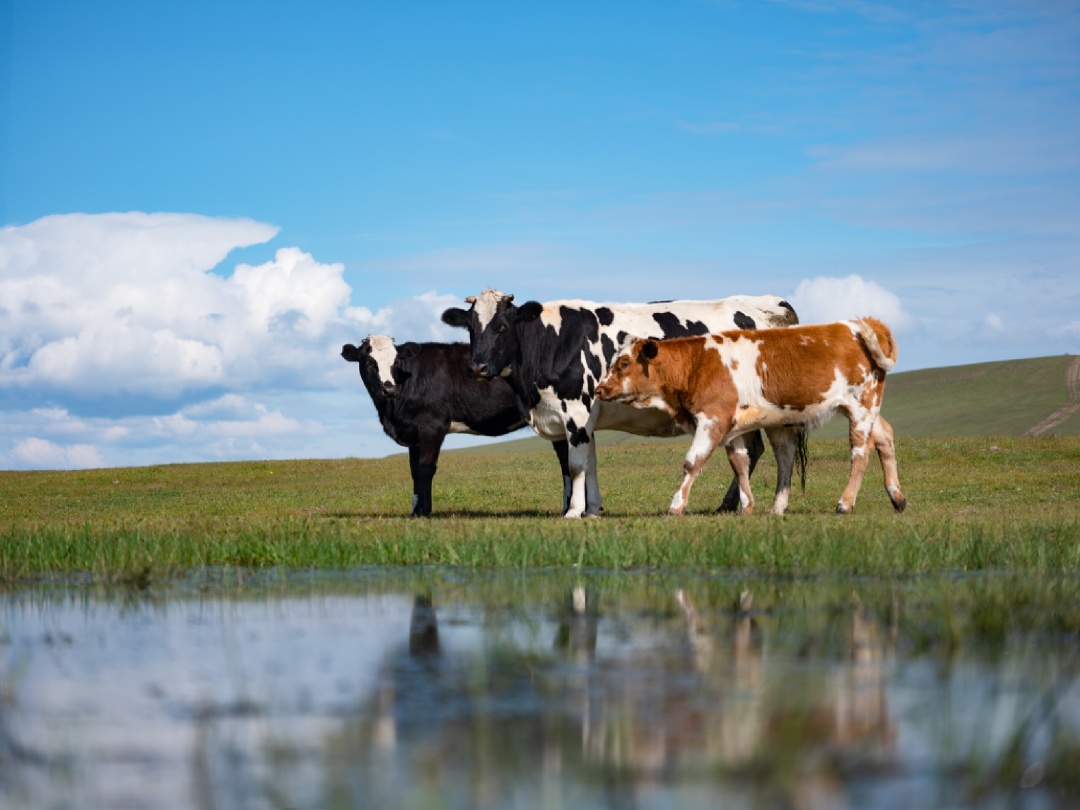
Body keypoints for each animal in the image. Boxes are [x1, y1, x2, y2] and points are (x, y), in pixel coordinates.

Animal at [343, 336, 574, 520]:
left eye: (396, 361)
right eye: (369, 362)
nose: (389, 388)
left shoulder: (432, 425)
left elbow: (426, 469)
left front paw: (424, 512)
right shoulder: (414, 433)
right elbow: (415, 471)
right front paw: (415, 511)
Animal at [438, 291, 803, 520]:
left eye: (502, 326)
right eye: (471, 328)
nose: (477, 367)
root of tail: (772, 305)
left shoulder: (576, 412)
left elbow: (576, 466)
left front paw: (574, 512)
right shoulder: (578, 419)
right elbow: (590, 463)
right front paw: (592, 509)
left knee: (783, 451)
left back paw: (776, 506)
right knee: (754, 450)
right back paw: (737, 505)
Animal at [596, 319, 907, 516]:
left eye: (624, 363)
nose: (599, 389)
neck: (697, 364)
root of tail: (855, 323)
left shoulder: (712, 419)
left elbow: (692, 462)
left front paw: (675, 506)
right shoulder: (732, 427)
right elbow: (740, 464)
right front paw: (746, 506)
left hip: (861, 405)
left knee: (860, 452)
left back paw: (844, 504)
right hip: (868, 408)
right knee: (885, 436)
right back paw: (897, 497)